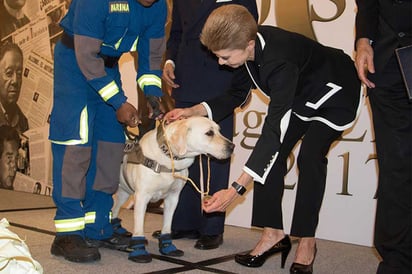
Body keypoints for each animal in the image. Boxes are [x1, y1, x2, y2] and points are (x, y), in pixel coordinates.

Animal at [112, 116, 235, 262]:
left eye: (219, 130)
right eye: (209, 133)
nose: (232, 147)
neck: (169, 158)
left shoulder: (173, 198)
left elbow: (167, 226)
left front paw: (167, 247)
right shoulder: (142, 197)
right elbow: (139, 227)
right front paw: (139, 251)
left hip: (124, 192)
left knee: (114, 210)